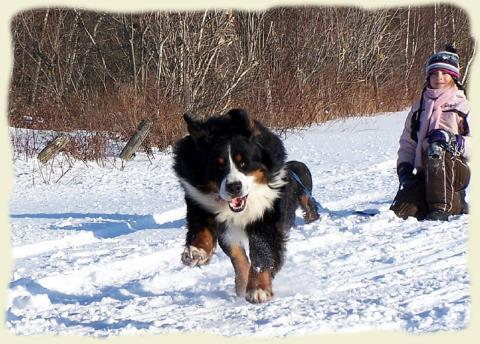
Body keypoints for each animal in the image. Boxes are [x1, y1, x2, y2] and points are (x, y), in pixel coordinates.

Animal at [172, 109, 318, 302]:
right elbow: (226, 247)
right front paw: (195, 252)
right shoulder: (201, 204)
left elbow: (261, 250)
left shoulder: (267, 214)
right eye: (218, 166)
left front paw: (258, 288)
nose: (234, 187)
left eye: (243, 163)